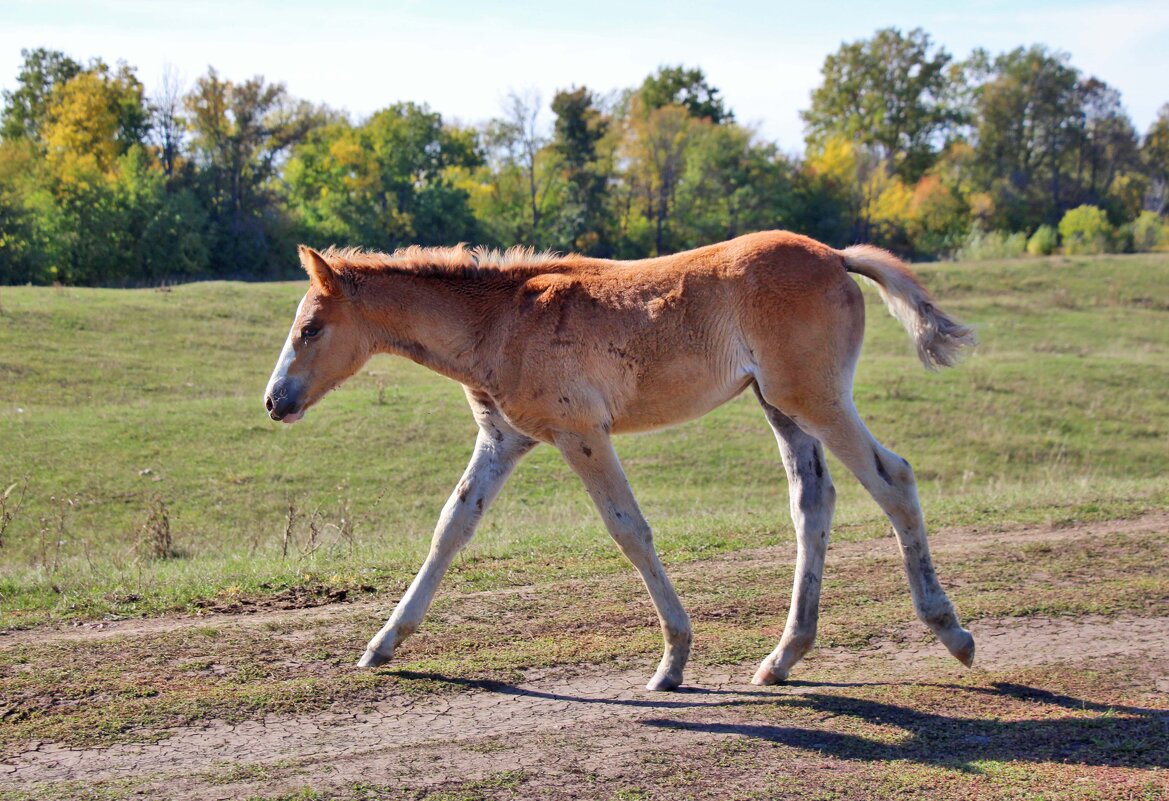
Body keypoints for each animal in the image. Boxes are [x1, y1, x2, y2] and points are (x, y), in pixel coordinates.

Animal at [263, 229, 977, 687]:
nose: (275, 401)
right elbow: (451, 527)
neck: (499, 323)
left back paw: (951, 631)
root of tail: (835, 255)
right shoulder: (503, 440)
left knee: (893, 478)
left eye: (311, 329)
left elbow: (628, 529)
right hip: (781, 406)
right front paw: (381, 644)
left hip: (816, 397)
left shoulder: (581, 433)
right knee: (813, 504)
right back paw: (783, 657)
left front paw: (674, 660)